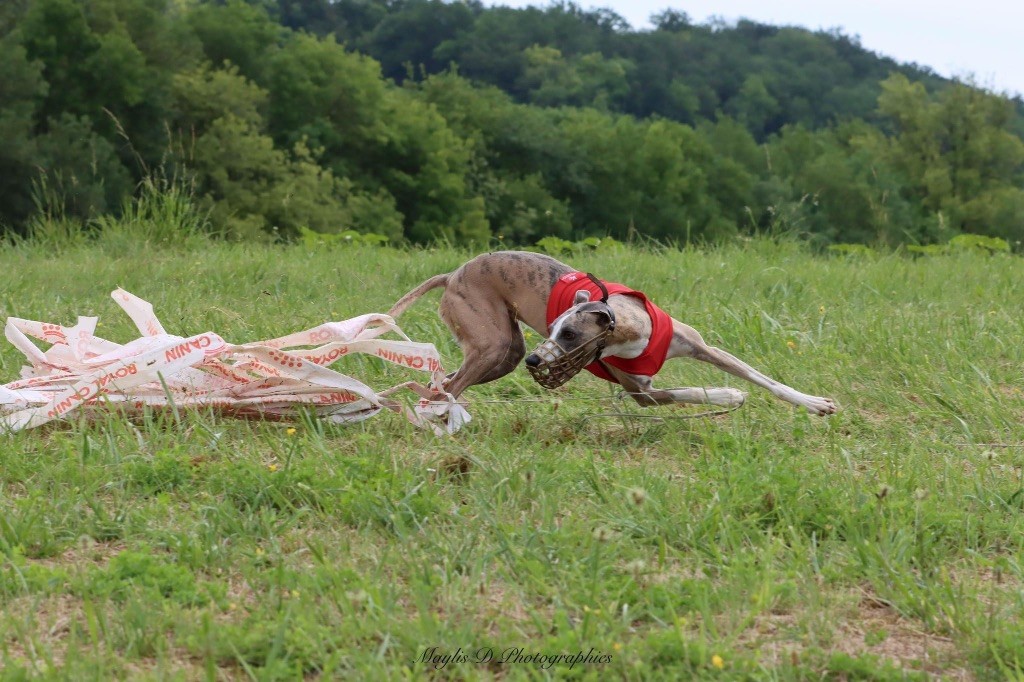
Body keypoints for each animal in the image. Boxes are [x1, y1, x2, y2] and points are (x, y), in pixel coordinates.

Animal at [387, 248, 835, 411]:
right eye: (552, 328)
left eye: (568, 334)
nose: (536, 359)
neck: (631, 329)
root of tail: (451, 275)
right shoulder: (641, 393)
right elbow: (690, 391)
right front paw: (728, 395)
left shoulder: (704, 348)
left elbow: (764, 378)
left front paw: (815, 403)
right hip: (494, 343)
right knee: (447, 386)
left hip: (504, 352)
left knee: (443, 382)